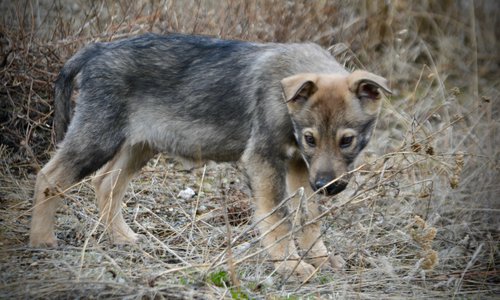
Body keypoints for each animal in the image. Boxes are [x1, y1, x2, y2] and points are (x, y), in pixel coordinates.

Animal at [29, 34, 392, 280]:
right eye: (310, 138)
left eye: (347, 141)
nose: (328, 186)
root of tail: (97, 50)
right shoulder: (265, 159)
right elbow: (279, 219)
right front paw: (293, 266)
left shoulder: (299, 166)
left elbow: (308, 217)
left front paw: (320, 259)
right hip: (98, 137)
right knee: (50, 176)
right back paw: (42, 241)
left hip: (139, 145)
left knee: (106, 184)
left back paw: (124, 238)